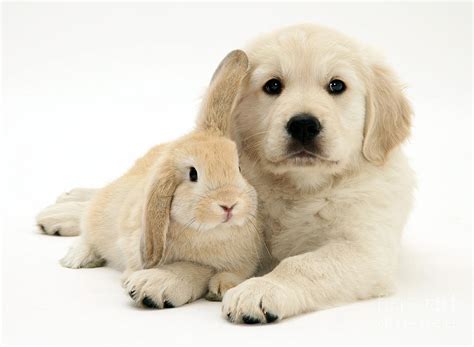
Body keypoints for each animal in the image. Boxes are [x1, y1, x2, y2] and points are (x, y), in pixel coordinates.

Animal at [36, 50, 266, 308]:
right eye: (193, 174)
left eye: (238, 167)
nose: (229, 204)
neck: (213, 235)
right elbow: (193, 268)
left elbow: (230, 274)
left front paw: (222, 287)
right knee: (89, 226)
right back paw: (75, 253)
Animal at [220, 23, 412, 324]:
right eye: (272, 85)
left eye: (336, 85)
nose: (303, 125)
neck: (303, 187)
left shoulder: (365, 248)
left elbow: (302, 264)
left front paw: (261, 288)